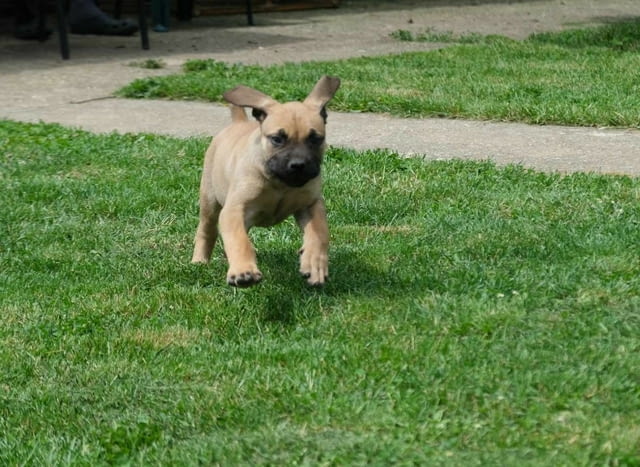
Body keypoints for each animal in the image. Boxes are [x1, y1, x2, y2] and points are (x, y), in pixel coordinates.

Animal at [190, 76, 340, 288]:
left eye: (315, 139)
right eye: (277, 139)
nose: (298, 165)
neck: (280, 184)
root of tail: (238, 122)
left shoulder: (311, 204)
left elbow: (319, 233)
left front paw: (314, 263)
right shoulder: (235, 209)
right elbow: (239, 240)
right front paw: (243, 270)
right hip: (209, 200)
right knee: (207, 230)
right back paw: (200, 261)